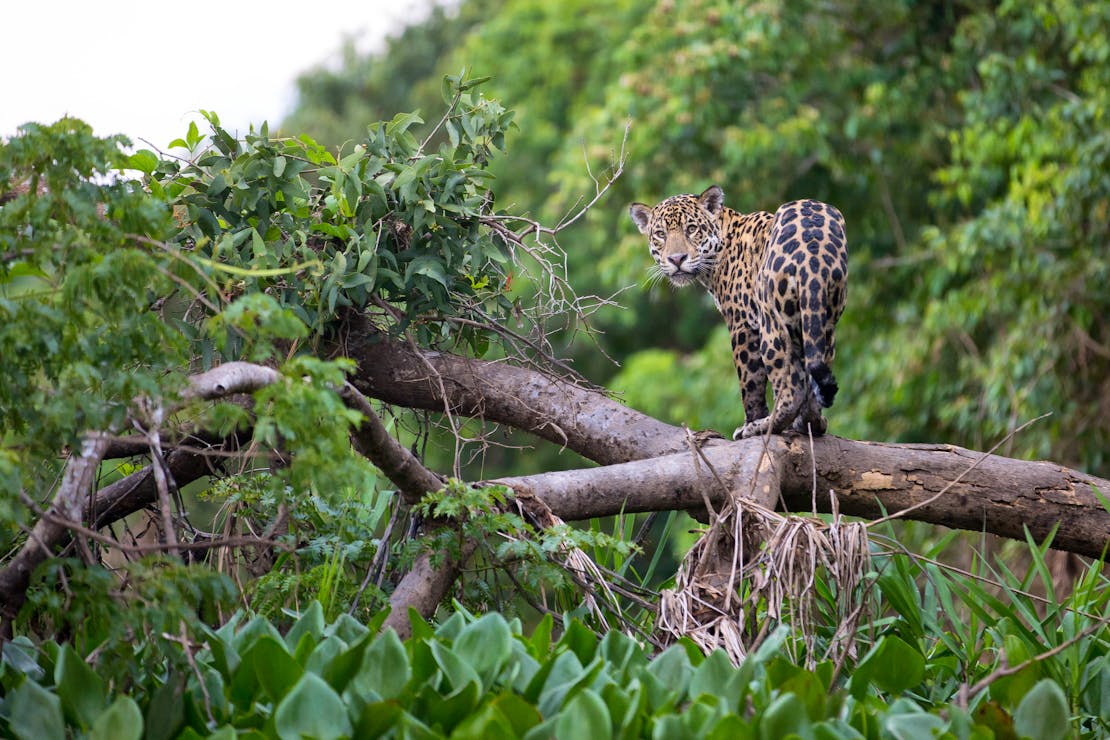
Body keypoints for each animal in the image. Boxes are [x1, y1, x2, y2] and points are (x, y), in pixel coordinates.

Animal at [629, 185, 848, 440]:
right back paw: (812, 422)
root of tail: (813, 250)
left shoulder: (742, 325)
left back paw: (763, 426)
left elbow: (750, 383)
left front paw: (751, 421)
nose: (676, 259)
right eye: (661, 234)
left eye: (691, 229)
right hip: (822, 321)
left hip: (772, 325)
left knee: (790, 389)